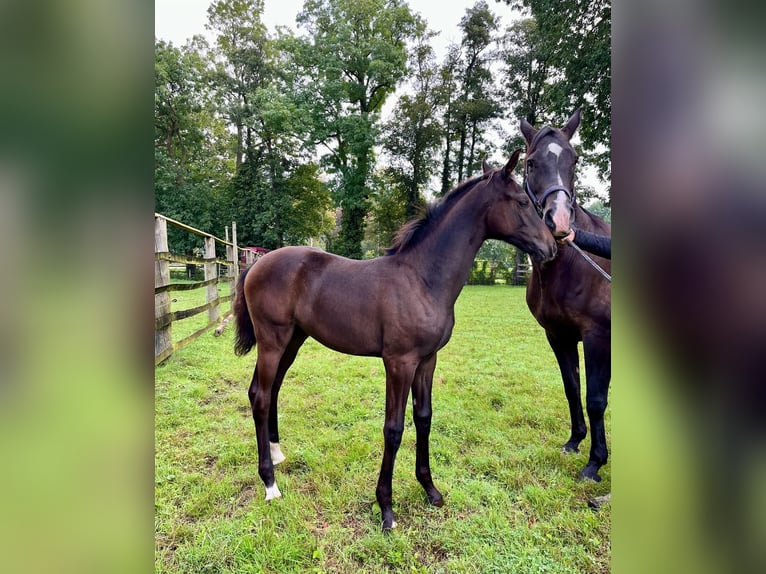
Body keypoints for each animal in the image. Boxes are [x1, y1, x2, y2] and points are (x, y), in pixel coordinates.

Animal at [234, 152, 560, 532]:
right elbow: (394, 428)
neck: (422, 279)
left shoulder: (427, 360)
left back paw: (276, 454)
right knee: (260, 396)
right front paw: (386, 508)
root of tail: (255, 265)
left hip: (293, 341)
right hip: (272, 340)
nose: (551, 247)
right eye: (522, 201)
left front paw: (430, 490)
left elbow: (424, 418)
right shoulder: (399, 362)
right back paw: (270, 484)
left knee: (269, 391)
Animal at [520, 110, 616, 484]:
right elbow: (572, 387)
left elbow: (596, 398)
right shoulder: (557, 335)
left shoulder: (598, 337)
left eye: (574, 160)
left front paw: (595, 463)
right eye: (531, 163)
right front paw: (575, 441)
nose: (559, 221)